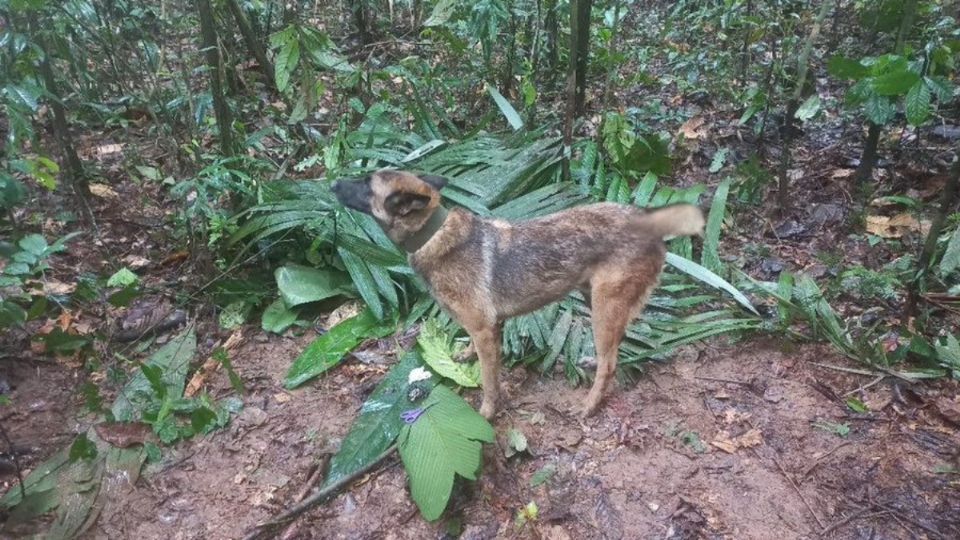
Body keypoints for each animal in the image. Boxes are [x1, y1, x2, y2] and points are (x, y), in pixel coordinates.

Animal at [332, 169, 704, 418]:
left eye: (366, 183)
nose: (332, 183)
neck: (433, 234)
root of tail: (648, 221)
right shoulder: (487, 328)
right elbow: (475, 354)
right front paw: (465, 356)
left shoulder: (484, 330)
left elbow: (488, 380)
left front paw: (486, 412)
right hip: (595, 300)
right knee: (614, 348)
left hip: (604, 305)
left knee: (610, 363)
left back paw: (589, 404)